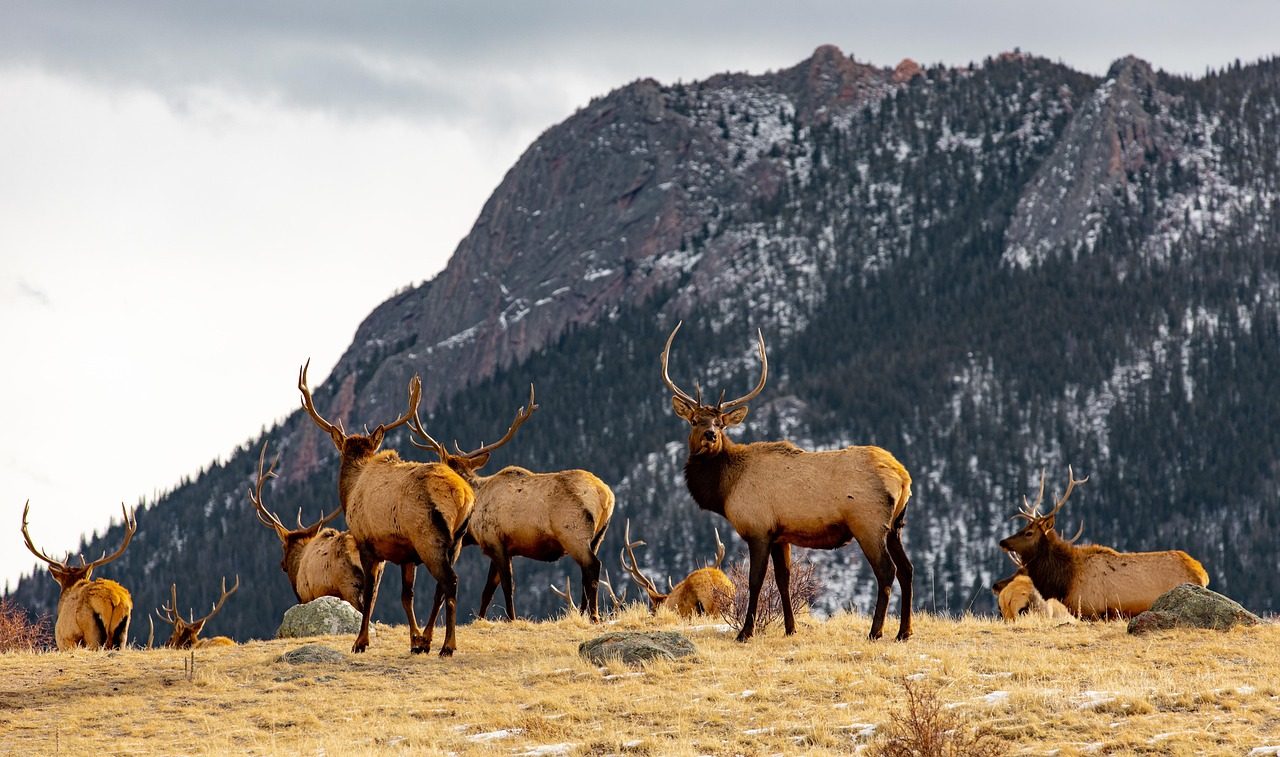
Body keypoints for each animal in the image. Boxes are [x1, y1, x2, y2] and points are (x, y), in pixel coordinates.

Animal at [298, 360, 475, 656]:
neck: (351, 490)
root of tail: (463, 494)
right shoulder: (405, 555)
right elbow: (406, 596)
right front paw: (415, 640)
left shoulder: (367, 543)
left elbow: (370, 595)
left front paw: (360, 642)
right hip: (457, 541)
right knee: (442, 587)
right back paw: (433, 642)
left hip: (429, 536)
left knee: (450, 581)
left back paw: (448, 646)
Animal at [407, 385, 615, 623]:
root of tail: (605, 495)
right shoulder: (501, 547)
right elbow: (488, 590)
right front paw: (480, 618)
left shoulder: (495, 541)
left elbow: (507, 585)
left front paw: (511, 617)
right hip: (598, 536)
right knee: (586, 572)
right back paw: (583, 614)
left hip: (573, 533)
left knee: (593, 566)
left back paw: (594, 615)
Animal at [660, 322, 914, 643]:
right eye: (694, 420)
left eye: (720, 423)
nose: (710, 435)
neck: (725, 489)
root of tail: (903, 476)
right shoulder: (781, 535)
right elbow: (783, 579)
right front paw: (790, 628)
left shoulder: (758, 529)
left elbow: (755, 581)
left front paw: (745, 632)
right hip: (896, 526)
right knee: (907, 569)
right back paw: (904, 631)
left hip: (868, 524)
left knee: (886, 571)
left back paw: (876, 631)